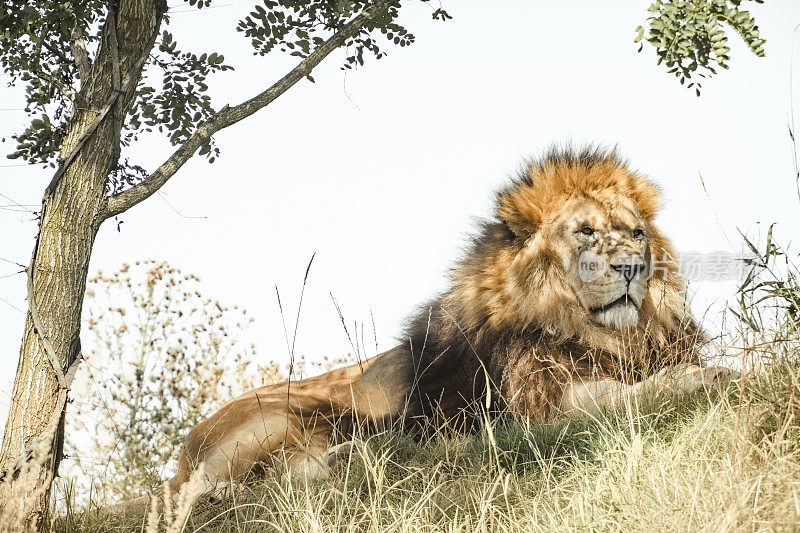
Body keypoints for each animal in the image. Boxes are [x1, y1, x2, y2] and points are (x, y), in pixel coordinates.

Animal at [153, 147, 736, 498]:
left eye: (636, 234)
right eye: (587, 233)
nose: (633, 267)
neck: (611, 336)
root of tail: (184, 451)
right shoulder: (539, 406)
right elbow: (623, 398)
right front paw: (703, 378)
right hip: (286, 414)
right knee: (223, 488)